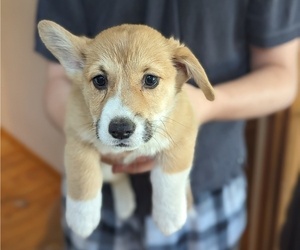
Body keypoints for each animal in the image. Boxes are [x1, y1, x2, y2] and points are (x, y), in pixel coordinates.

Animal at [38, 20, 214, 237]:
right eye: (100, 80)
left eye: (150, 79)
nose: (120, 130)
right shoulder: (76, 137)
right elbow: (82, 176)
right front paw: (82, 218)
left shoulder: (183, 136)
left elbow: (170, 178)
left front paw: (170, 216)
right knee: (115, 177)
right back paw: (124, 205)